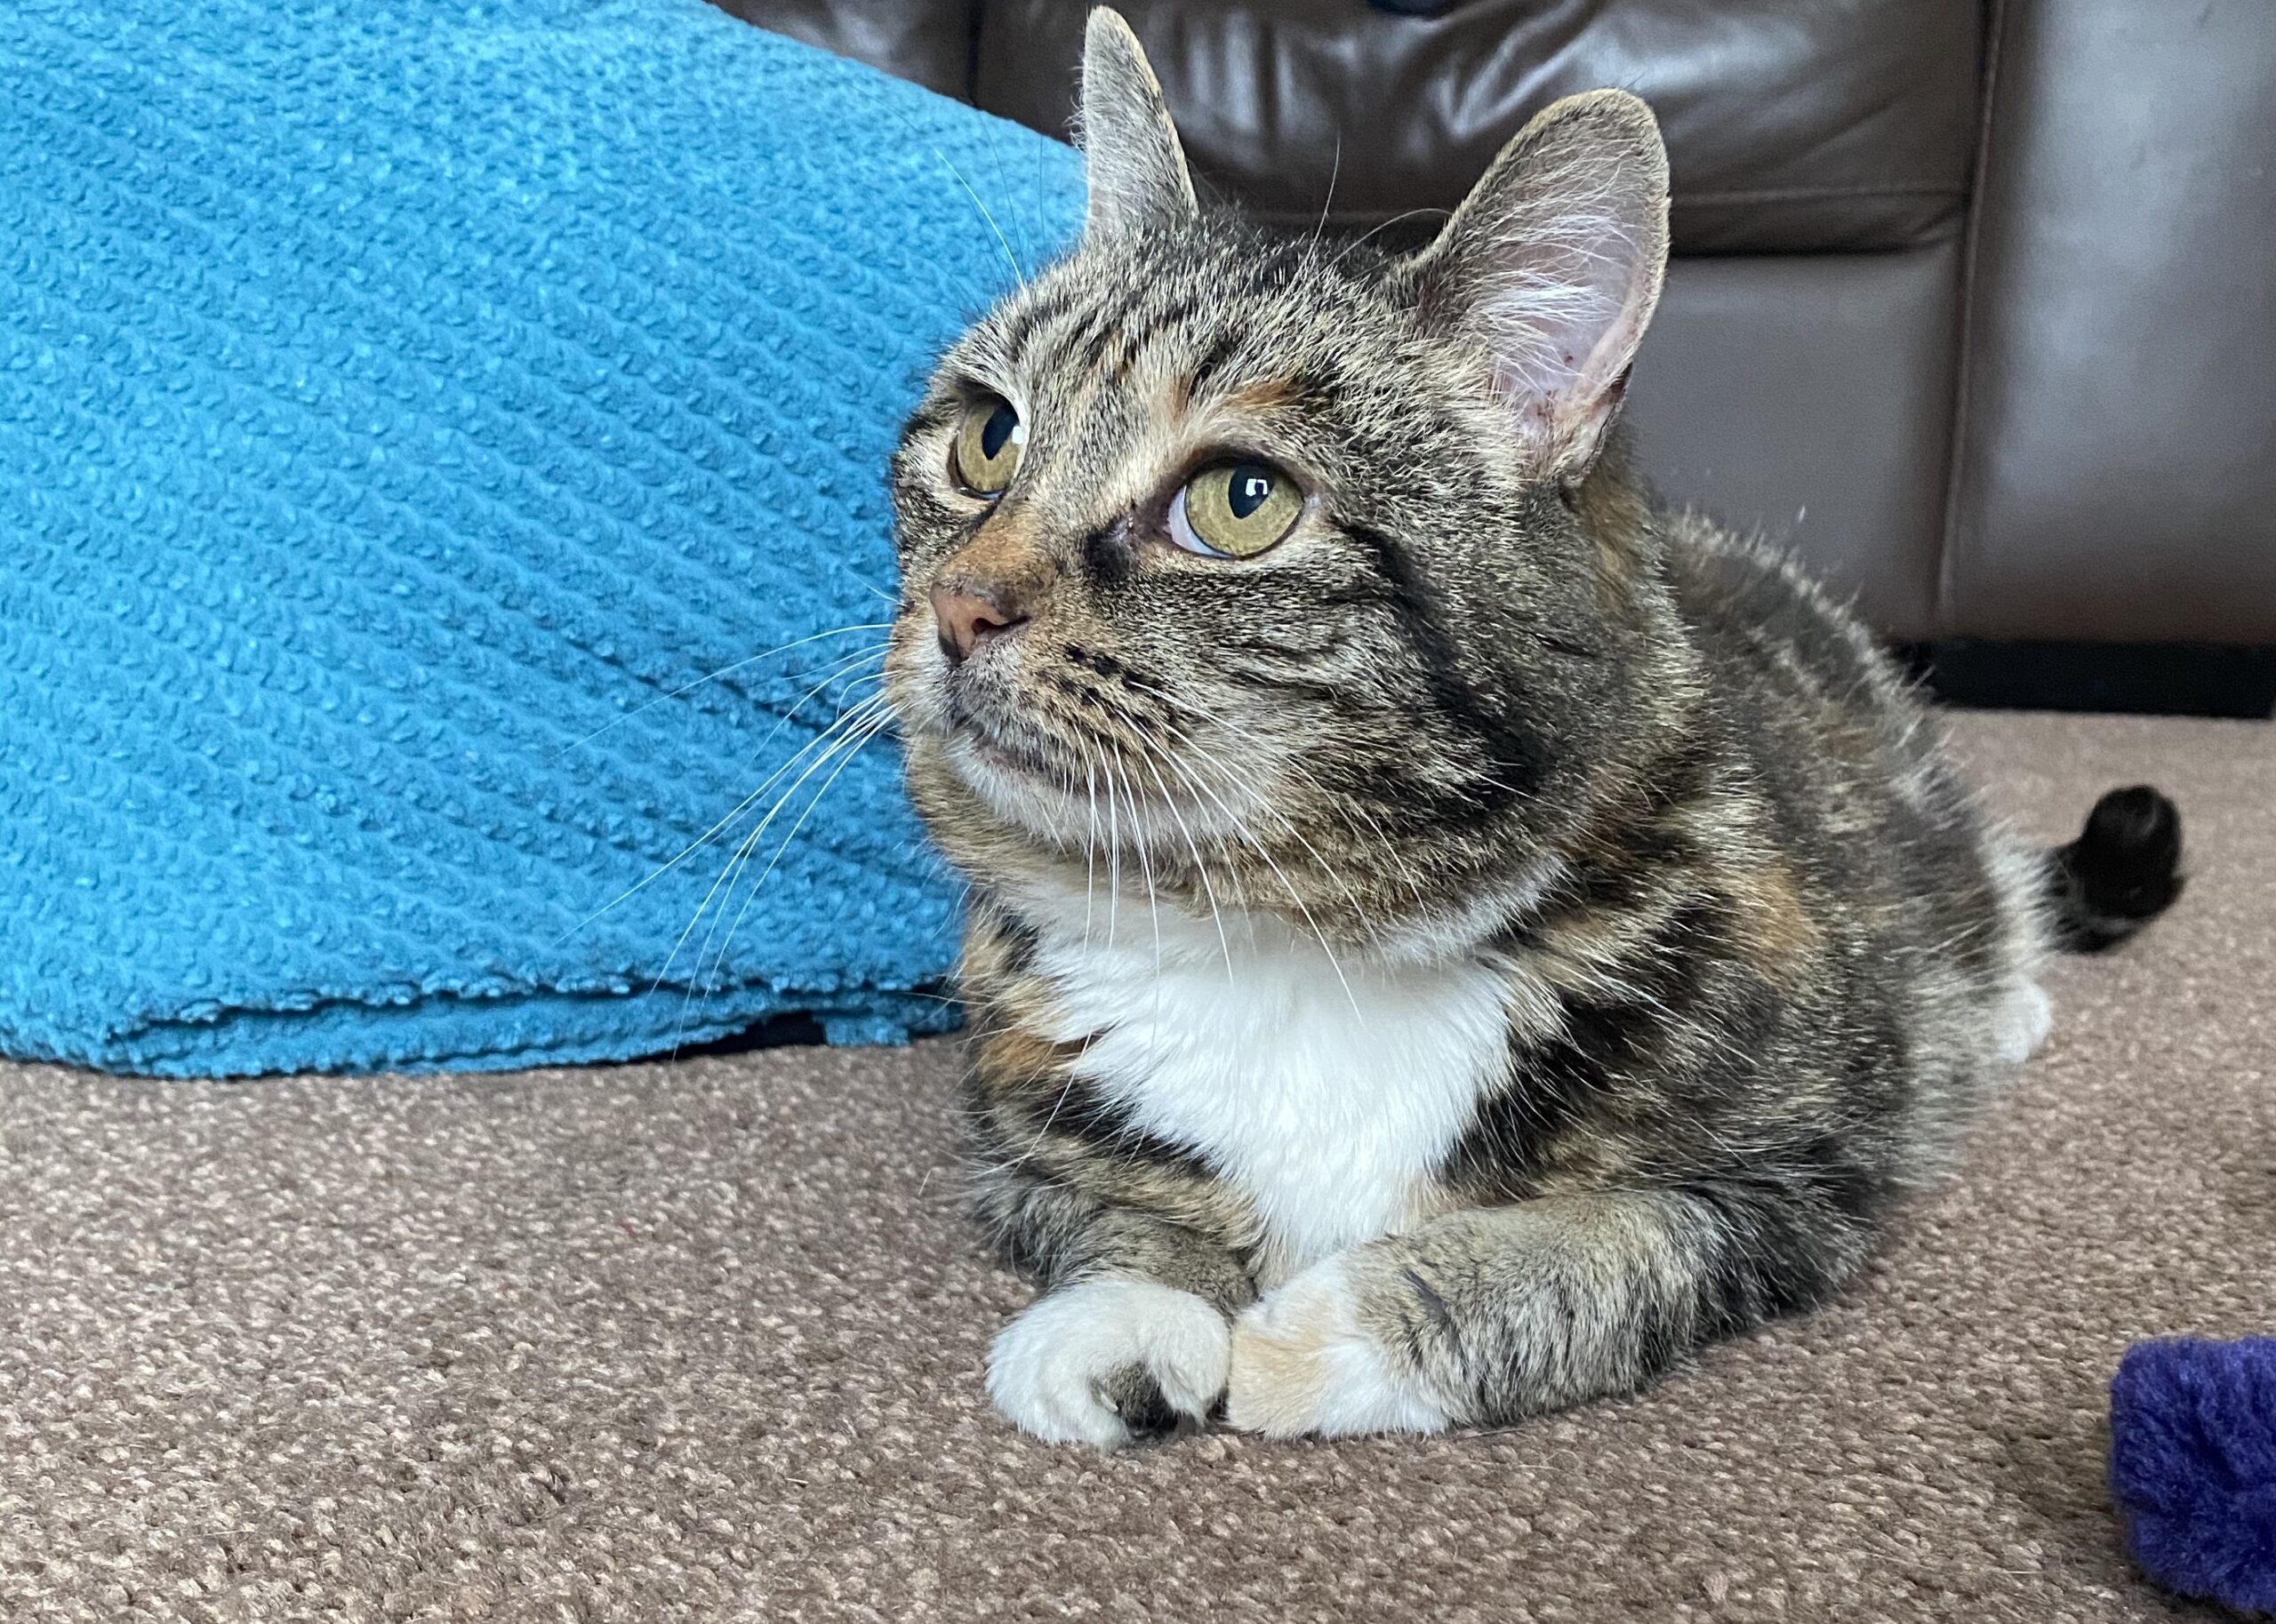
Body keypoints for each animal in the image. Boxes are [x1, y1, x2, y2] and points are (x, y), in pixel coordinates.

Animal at [874, 6, 2184, 1437]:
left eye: (1240, 499)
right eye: (989, 438)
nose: (960, 604)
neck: (1274, 938)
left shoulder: (1809, 1174)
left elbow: (1595, 1249)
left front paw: (1324, 1336)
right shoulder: (1014, 1119)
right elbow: (1104, 1193)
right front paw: (1128, 1305)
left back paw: (2002, 1002)